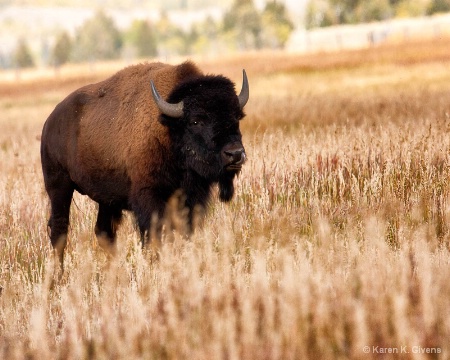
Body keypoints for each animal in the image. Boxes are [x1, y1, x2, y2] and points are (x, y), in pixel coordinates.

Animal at [40, 60, 248, 268]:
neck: (168, 129)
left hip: (106, 199)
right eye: (196, 120)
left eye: (237, 117)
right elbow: (153, 236)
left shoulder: (192, 199)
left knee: (104, 232)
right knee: (59, 230)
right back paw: (58, 274)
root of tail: (50, 122)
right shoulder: (149, 198)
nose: (235, 153)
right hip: (59, 187)